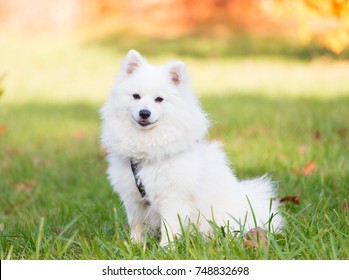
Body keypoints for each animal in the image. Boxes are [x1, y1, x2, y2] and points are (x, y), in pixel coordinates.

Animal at [99, 50, 282, 245]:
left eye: (159, 99)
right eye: (136, 96)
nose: (144, 113)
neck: (146, 150)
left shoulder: (173, 199)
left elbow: (169, 229)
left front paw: (166, 248)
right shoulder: (134, 199)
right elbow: (136, 225)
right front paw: (135, 246)